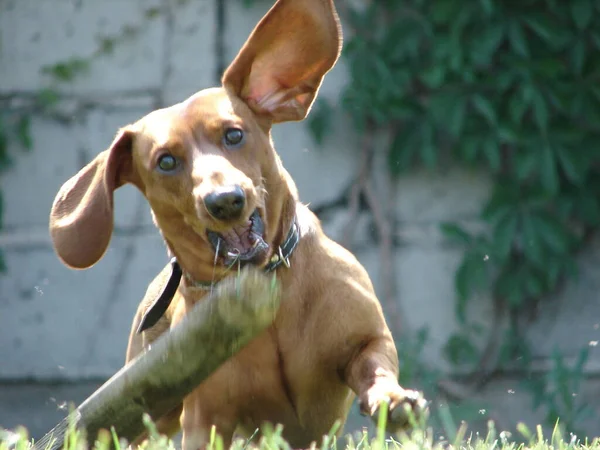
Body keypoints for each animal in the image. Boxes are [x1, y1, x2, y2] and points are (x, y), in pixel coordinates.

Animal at [50, 0, 426, 446]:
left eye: (234, 135)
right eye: (166, 161)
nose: (225, 200)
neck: (268, 279)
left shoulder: (365, 340)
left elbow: (375, 365)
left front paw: (395, 401)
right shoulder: (207, 416)